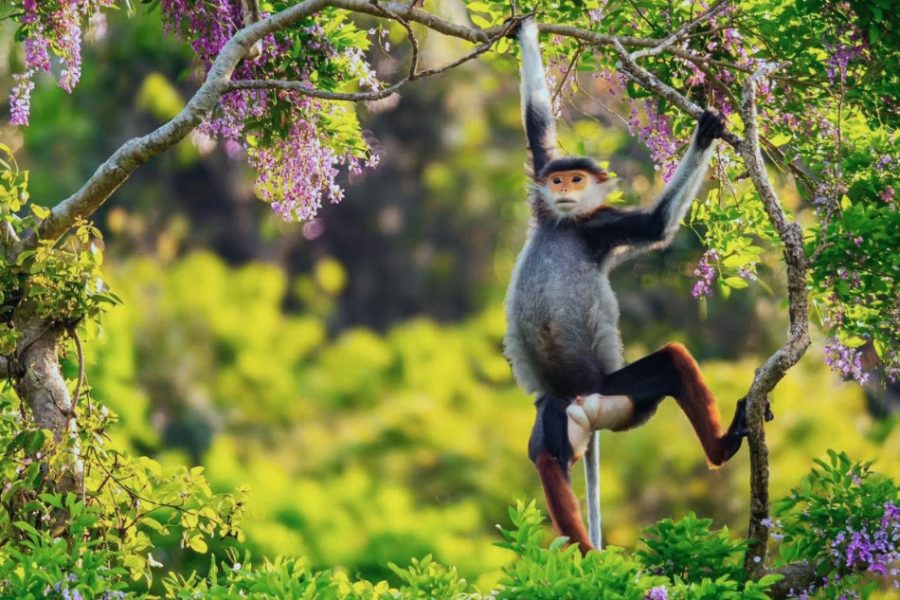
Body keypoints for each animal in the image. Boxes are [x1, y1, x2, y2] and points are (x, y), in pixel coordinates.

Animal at [503, 17, 757, 554]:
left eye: (577, 180)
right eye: (558, 181)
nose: (565, 190)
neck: (567, 225)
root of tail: (588, 403)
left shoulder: (601, 227)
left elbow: (657, 225)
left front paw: (706, 134)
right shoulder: (544, 206)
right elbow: (537, 122)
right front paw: (527, 30)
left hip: (622, 400)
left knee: (672, 361)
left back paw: (722, 449)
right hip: (574, 414)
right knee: (548, 445)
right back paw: (582, 557)